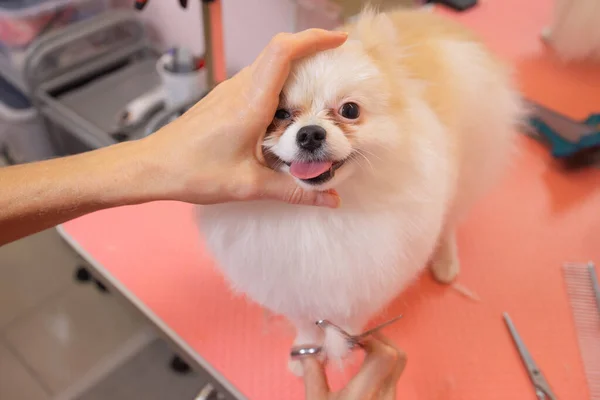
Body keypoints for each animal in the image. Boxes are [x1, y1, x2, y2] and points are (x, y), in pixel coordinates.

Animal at [197, 7, 520, 376]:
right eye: (278, 114)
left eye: (349, 110)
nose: (310, 133)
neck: (319, 213)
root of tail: (431, 18)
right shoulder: (286, 281)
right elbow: (304, 320)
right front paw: (306, 353)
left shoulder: (370, 274)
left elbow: (350, 318)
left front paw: (345, 347)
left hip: (471, 162)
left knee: (451, 217)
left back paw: (445, 259)